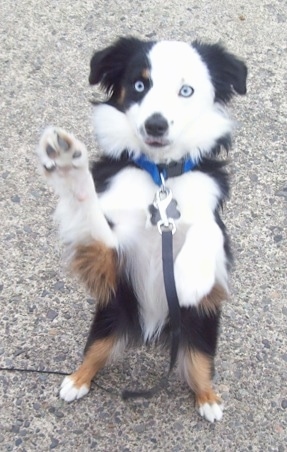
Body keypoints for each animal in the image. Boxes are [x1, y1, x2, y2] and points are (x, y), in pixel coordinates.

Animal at [36, 37, 248, 422]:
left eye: (186, 90)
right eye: (139, 85)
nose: (156, 125)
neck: (160, 176)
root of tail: (151, 329)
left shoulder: (217, 232)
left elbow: (207, 228)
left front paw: (191, 278)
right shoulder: (110, 254)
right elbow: (87, 207)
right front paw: (66, 162)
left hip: (200, 332)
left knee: (199, 369)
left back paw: (209, 401)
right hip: (109, 316)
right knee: (95, 352)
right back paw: (76, 381)